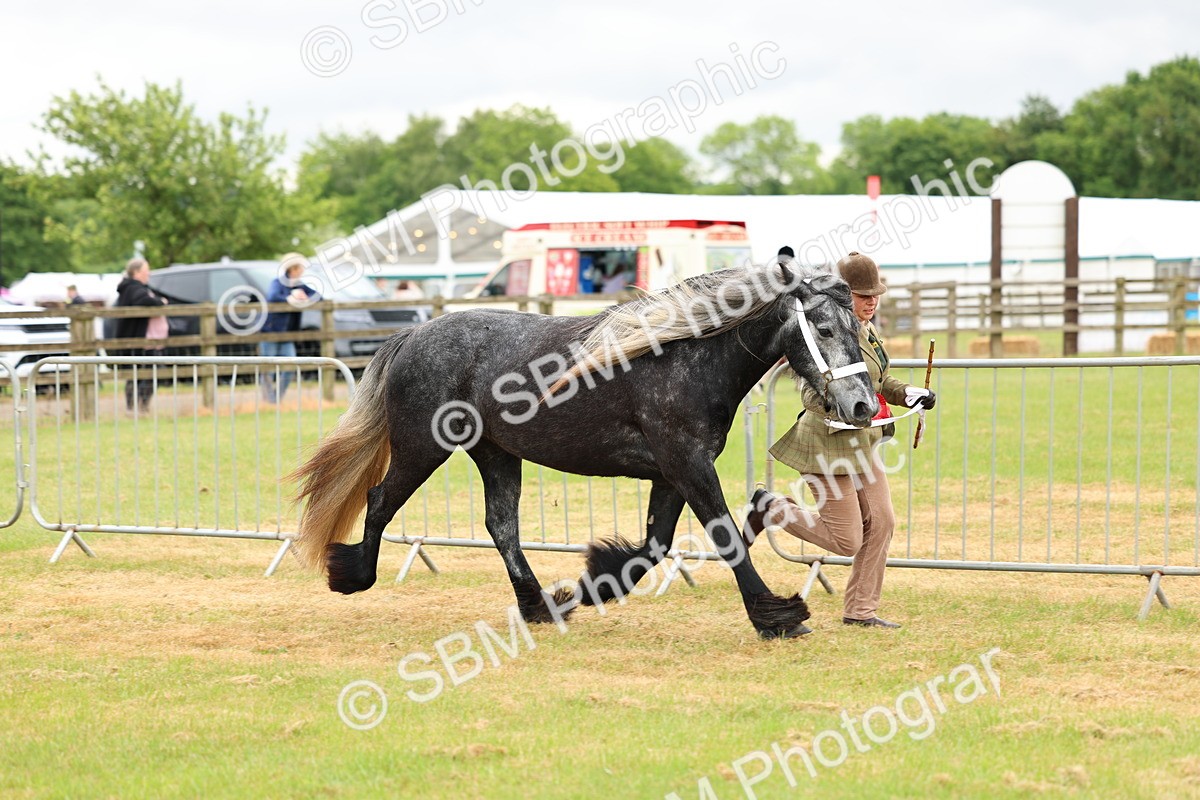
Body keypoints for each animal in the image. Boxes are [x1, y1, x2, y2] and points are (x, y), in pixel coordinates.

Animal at [289, 261, 877, 639]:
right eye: (824, 327)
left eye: (860, 326)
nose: (862, 405)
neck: (686, 358)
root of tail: (413, 335)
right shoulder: (687, 465)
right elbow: (726, 536)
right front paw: (777, 616)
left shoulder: (671, 473)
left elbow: (655, 546)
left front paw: (595, 581)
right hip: (422, 447)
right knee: (380, 500)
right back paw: (352, 575)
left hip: (495, 454)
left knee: (501, 525)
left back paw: (541, 607)